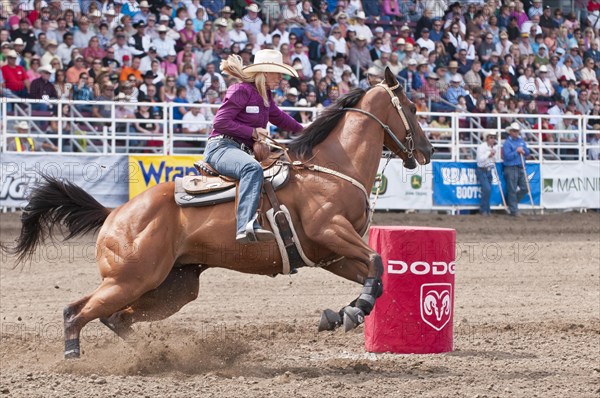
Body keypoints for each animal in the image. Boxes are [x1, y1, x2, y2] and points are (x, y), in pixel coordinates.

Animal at [7, 68, 434, 358]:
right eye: (412, 107)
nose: (429, 150)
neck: (330, 168)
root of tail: (115, 213)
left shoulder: (329, 253)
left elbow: (376, 278)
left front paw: (344, 313)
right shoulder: (330, 231)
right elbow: (377, 261)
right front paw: (351, 311)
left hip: (172, 287)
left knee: (116, 318)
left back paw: (154, 357)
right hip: (131, 279)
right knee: (75, 312)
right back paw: (75, 357)